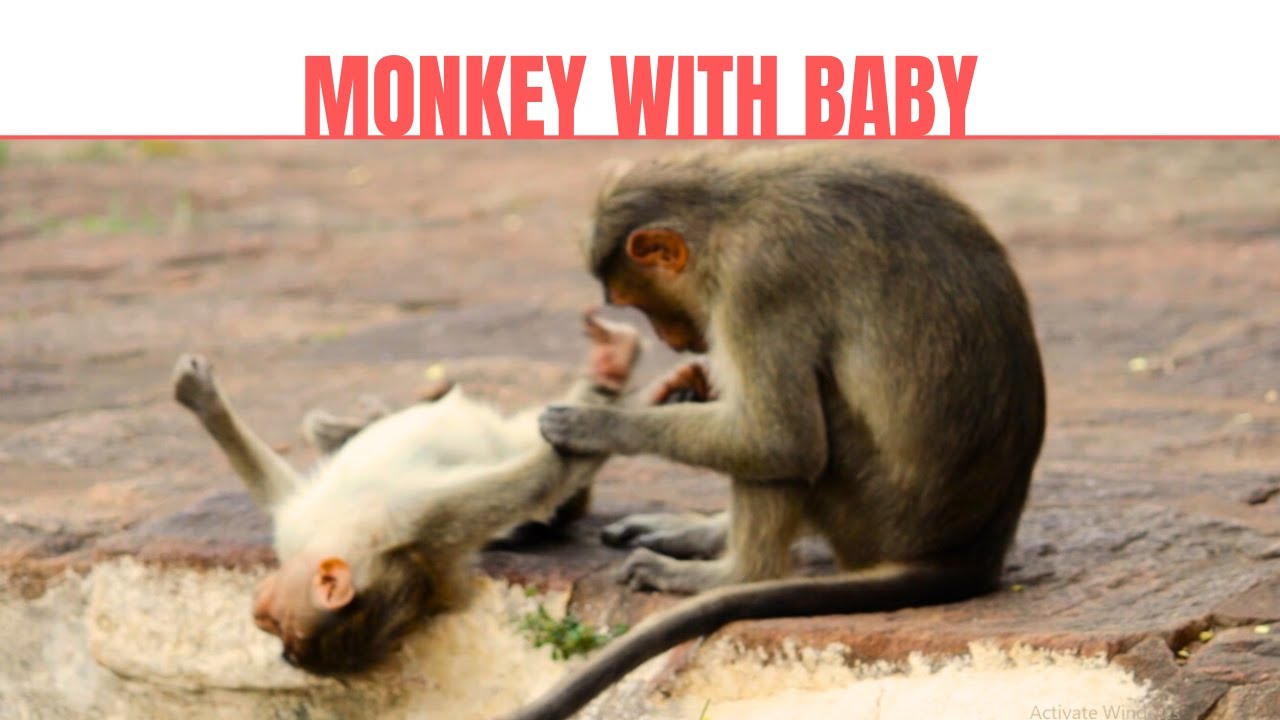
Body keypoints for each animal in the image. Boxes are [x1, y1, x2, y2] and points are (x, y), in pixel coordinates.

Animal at [170, 309, 643, 677]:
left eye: (274, 624)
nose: (258, 614)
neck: (362, 540)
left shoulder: (415, 514)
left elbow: (540, 481)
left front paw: (204, 400)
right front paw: (205, 401)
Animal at [514, 146, 1046, 720]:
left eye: (637, 302)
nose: (671, 340)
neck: (725, 215)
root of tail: (972, 552)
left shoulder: (755, 284)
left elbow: (780, 440)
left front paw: (597, 425)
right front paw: (684, 390)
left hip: (869, 515)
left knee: (793, 438)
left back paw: (733, 575)